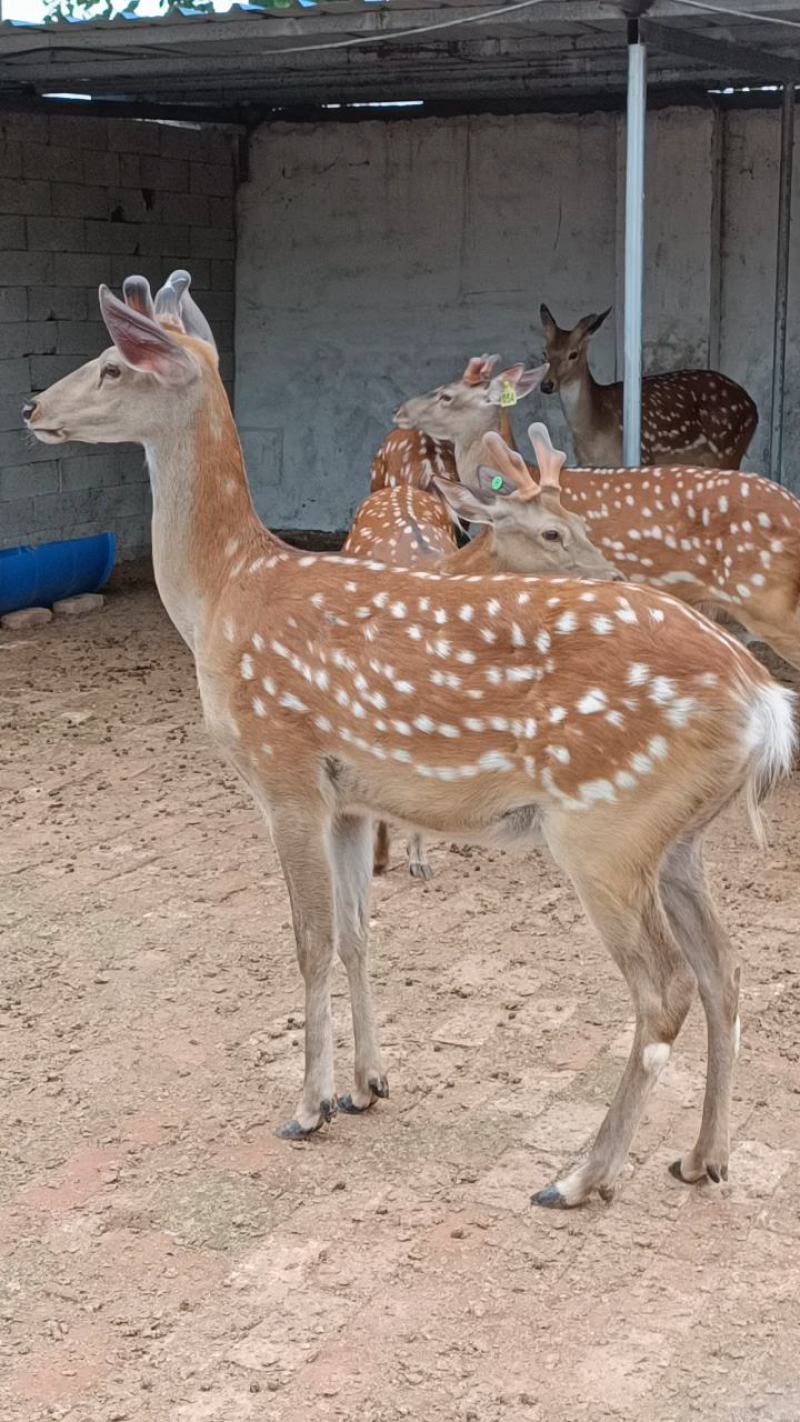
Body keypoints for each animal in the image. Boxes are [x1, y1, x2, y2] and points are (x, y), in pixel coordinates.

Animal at [538, 304, 758, 470]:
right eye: (544, 352)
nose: (546, 385)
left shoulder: (644, 456)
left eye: (573, 354)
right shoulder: (586, 464)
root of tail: (753, 408)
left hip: (728, 450)